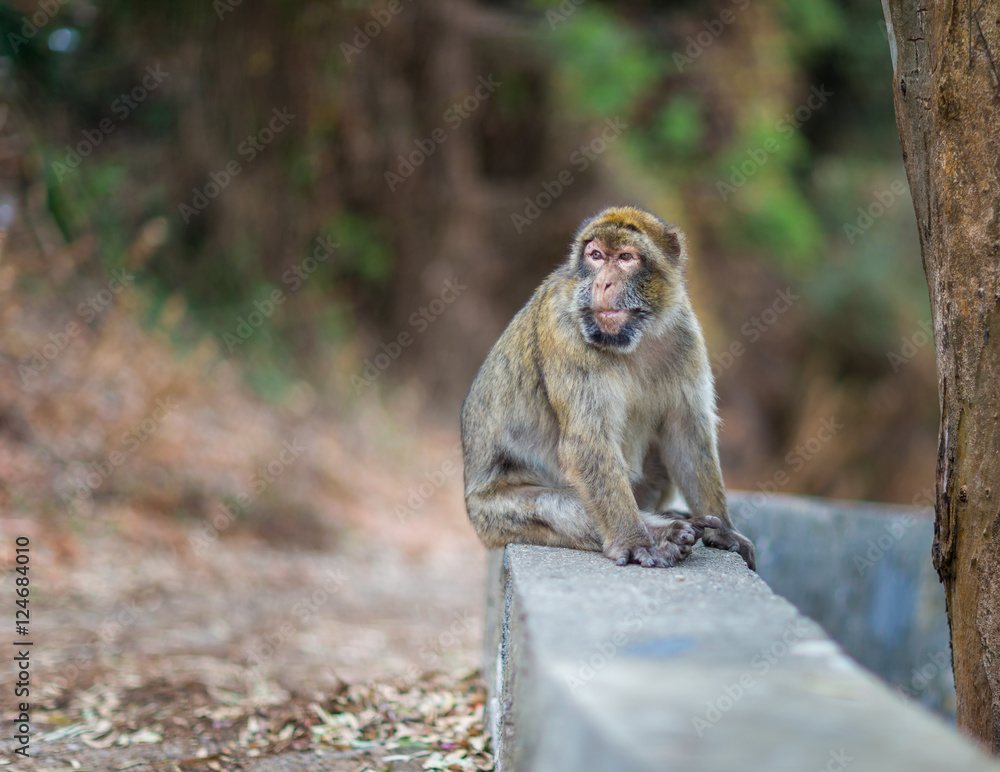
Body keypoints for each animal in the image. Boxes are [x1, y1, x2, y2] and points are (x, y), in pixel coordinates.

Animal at [460, 205, 755, 570]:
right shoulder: (563, 329)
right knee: (556, 507)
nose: (602, 282)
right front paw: (634, 540)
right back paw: (665, 533)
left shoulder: (683, 329)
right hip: (493, 518)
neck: (633, 340)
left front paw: (725, 531)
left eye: (626, 257)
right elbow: (589, 443)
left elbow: (686, 432)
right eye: (596, 256)